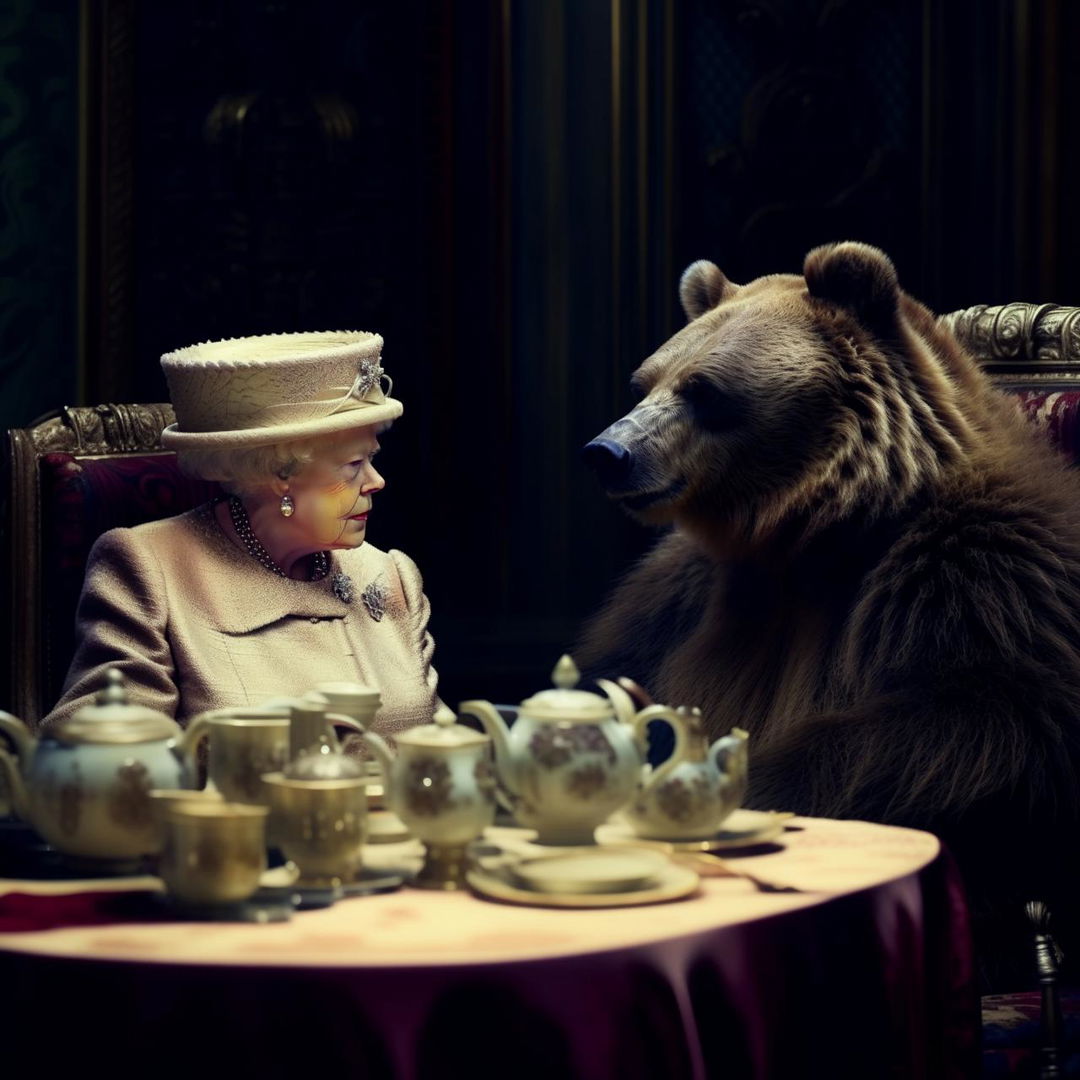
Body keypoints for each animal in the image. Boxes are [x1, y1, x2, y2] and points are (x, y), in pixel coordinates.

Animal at [578, 243, 1080, 989]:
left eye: (704, 390)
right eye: (646, 381)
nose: (608, 453)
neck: (811, 536)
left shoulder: (980, 578)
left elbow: (980, 718)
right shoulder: (682, 598)